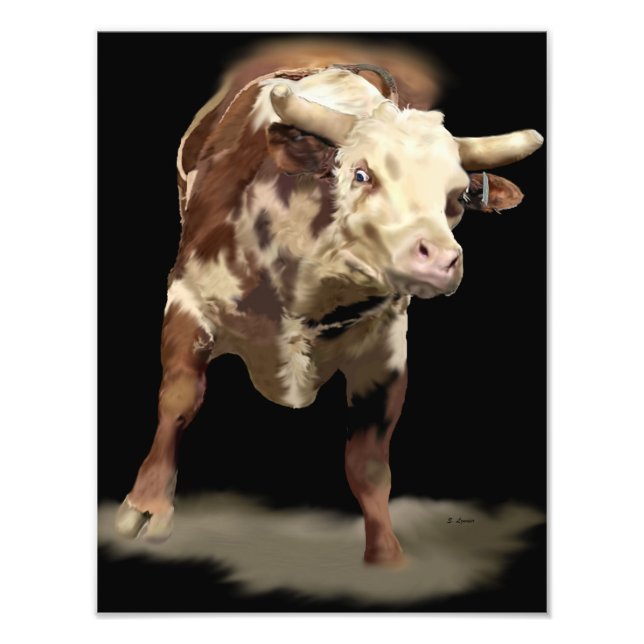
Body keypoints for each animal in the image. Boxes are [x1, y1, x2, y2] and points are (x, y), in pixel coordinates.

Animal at [114, 41, 543, 566]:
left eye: (459, 196)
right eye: (361, 174)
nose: (441, 259)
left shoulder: (385, 352)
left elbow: (368, 463)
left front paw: (386, 556)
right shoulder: (187, 298)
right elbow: (177, 401)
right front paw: (147, 505)